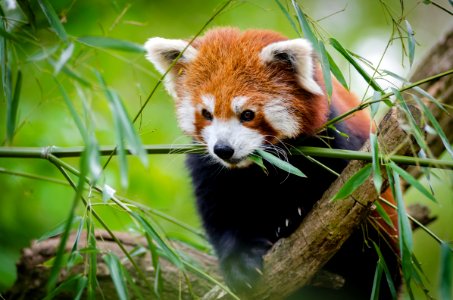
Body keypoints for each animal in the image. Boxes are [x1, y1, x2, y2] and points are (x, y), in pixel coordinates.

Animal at [144, 27, 400, 298]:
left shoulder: (336, 144)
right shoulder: (209, 168)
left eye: (247, 114)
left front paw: (294, 215)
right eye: (207, 114)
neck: (256, 169)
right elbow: (220, 216)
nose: (223, 149)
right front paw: (240, 263)